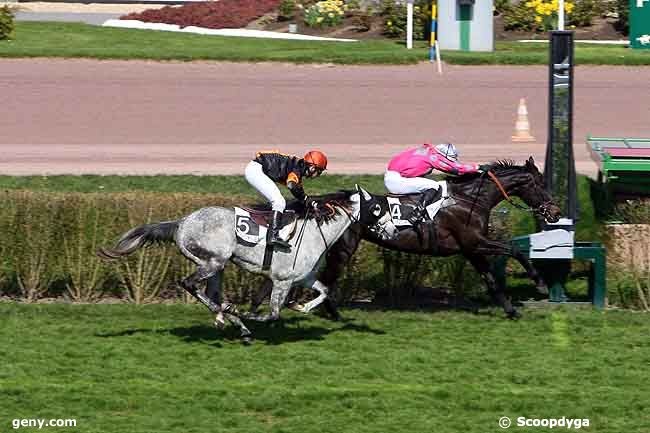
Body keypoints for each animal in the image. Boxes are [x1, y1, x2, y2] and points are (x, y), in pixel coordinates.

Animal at [98, 186, 398, 340]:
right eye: (377, 208)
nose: (393, 230)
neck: (315, 230)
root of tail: (181, 222)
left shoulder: (304, 277)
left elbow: (324, 291)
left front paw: (303, 307)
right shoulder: (281, 280)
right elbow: (273, 313)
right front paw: (247, 313)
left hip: (217, 267)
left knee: (211, 293)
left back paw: (234, 323)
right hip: (213, 261)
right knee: (189, 284)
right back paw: (226, 316)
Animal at [308, 158, 556, 318]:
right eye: (540, 184)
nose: (555, 212)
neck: (470, 199)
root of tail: (328, 201)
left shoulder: (471, 249)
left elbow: (491, 279)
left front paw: (511, 311)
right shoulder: (475, 242)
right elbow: (515, 250)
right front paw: (541, 283)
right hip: (343, 249)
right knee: (326, 279)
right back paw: (332, 313)